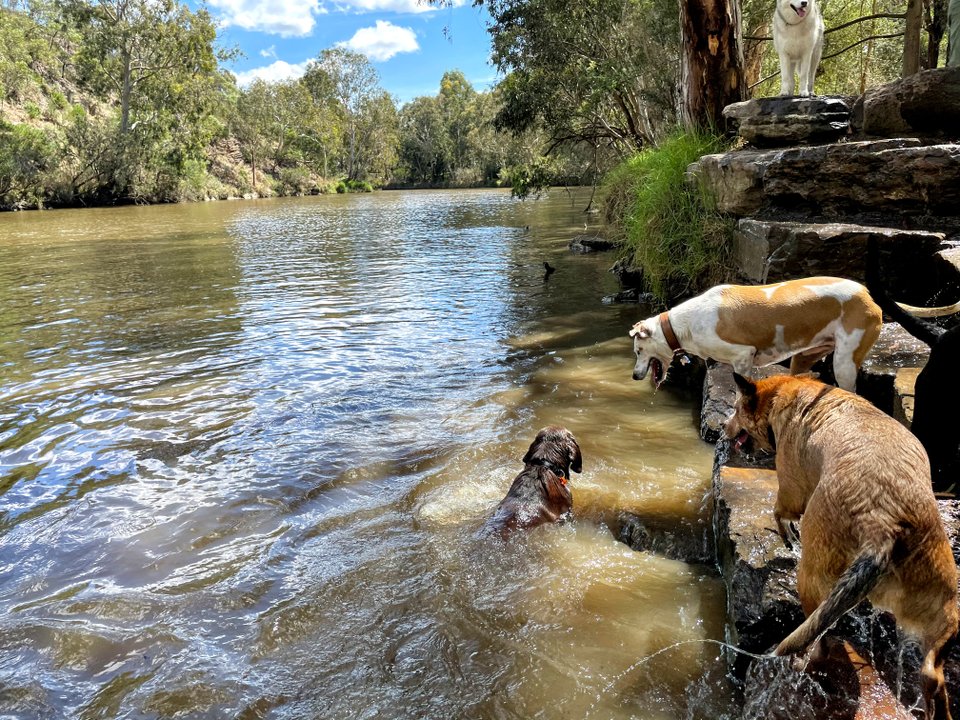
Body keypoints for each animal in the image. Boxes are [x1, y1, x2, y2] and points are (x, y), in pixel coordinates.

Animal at [632, 276, 884, 390]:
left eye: (638, 350)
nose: (634, 376)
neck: (683, 324)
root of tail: (866, 294)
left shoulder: (743, 358)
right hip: (803, 358)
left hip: (844, 364)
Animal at [724, 374, 956, 716]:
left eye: (736, 408)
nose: (723, 428)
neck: (787, 391)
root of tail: (882, 526)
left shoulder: (791, 490)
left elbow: (779, 512)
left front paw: (786, 535)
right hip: (941, 604)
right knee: (932, 673)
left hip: (810, 580)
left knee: (818, 644)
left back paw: (803, 664)